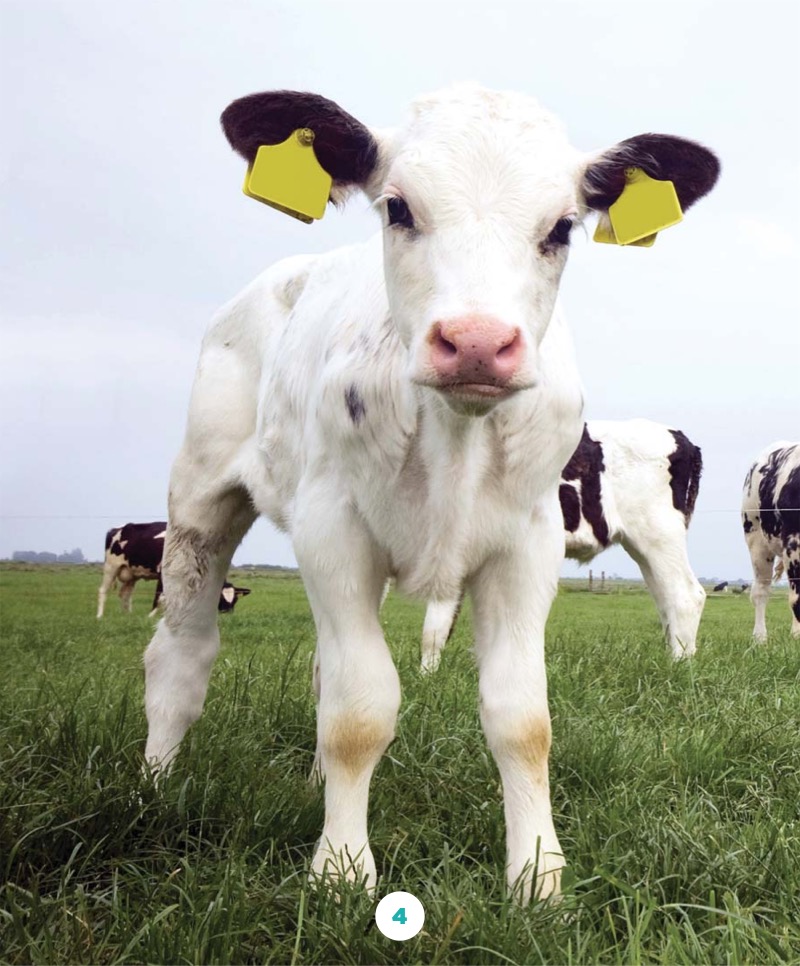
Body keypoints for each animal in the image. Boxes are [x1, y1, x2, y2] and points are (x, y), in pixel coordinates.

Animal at [97, 522, 250, 617]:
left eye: (235, 599)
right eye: (220, 598)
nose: (227, 613)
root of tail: (116, 529)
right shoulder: (163, 573)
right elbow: (159, 597)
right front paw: (151, 616)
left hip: (131, 573)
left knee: (125, 594)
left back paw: (128, 615)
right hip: (111, 567)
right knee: (103, 590)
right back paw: (100, 616)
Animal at [420, 419, 706, 671]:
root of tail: (683, 439)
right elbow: (440, 625)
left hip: (659, 533)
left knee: (685, 595)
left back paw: (678, 668)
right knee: (665, 599)